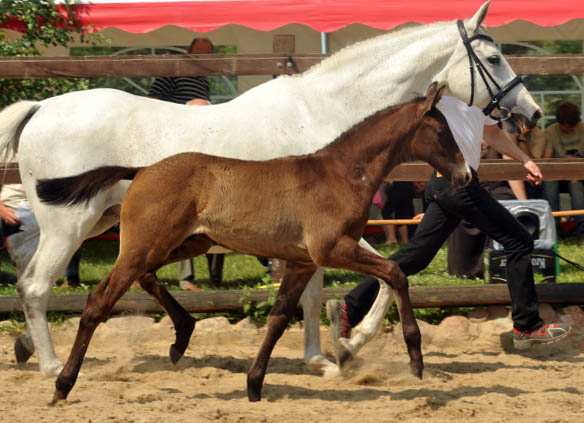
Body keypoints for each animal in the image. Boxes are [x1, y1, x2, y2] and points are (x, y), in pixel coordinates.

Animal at [36, 83, 470, 404]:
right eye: (442, 131)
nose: (465, 175)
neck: (343, 173)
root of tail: (141, 169)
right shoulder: (332, 249)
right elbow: (395, 272)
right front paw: (415, 357)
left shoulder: (302, 262)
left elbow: (278, 318)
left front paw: (254, 384)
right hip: (146, 245)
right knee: (98, 300)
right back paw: (61, 385)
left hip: (185, 243)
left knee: (145, 278)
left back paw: (182, 336)